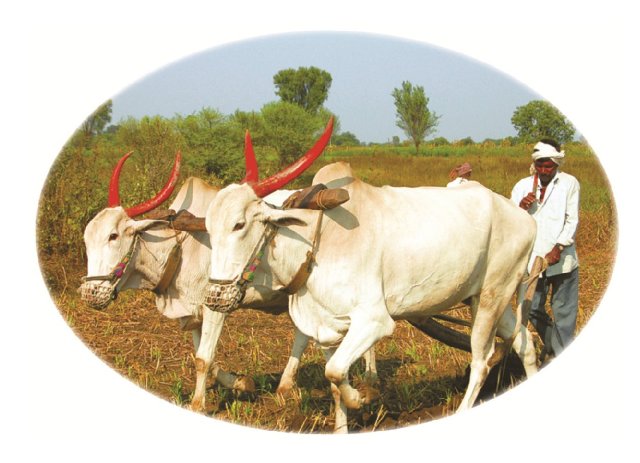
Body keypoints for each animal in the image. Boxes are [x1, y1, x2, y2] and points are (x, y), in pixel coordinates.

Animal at [203, 161, 539, 432]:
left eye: (239, 224)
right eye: (207, 227)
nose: (215, 295)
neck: (316, 242)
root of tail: (526, 218)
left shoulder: (374, 321)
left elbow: (335, 372)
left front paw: (365, 396)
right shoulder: (327, 329)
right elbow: (334, 381)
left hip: (493, 296)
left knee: (482, 360)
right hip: (485, 296)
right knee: (524, 342)